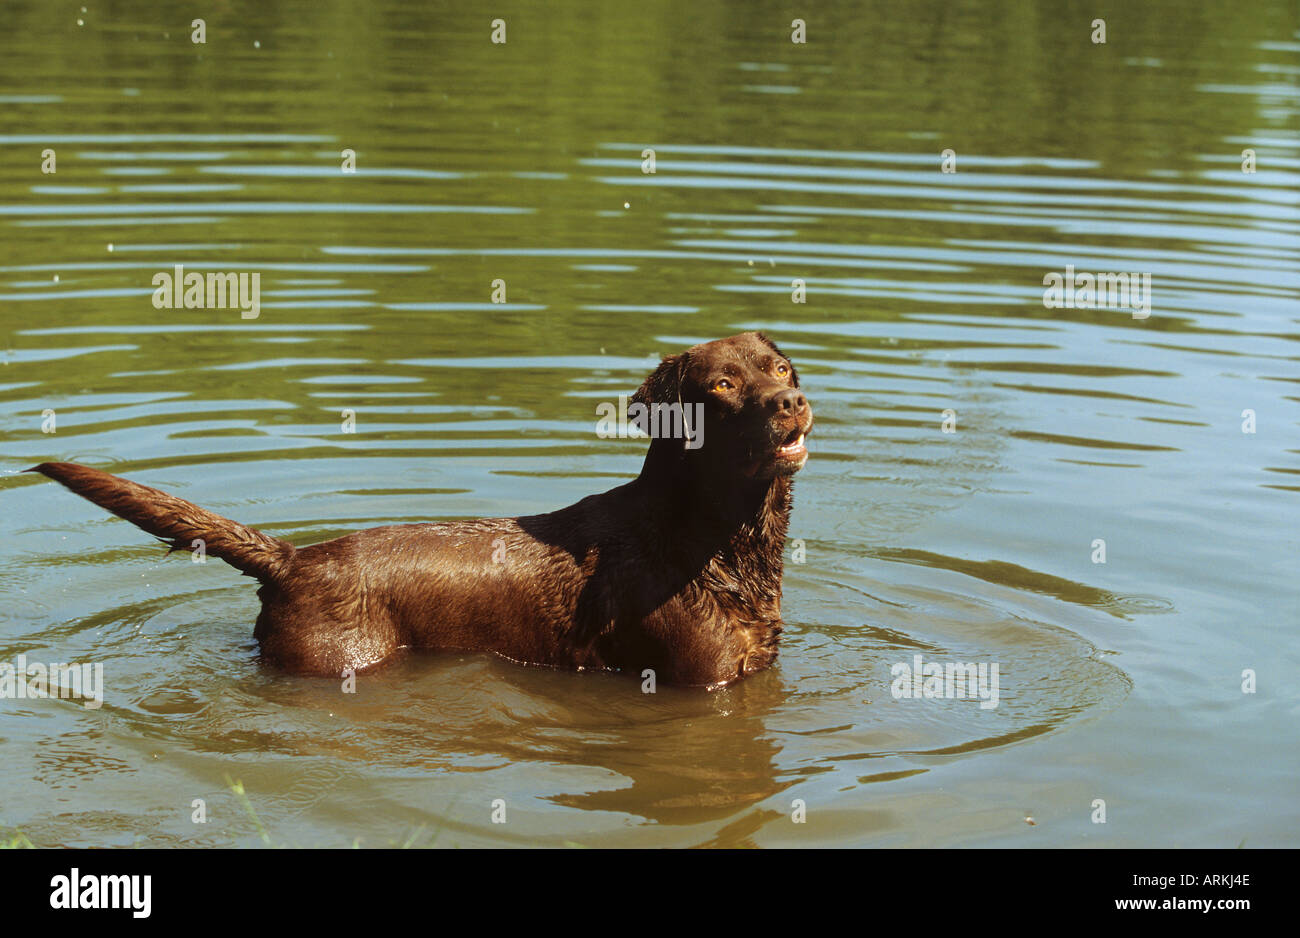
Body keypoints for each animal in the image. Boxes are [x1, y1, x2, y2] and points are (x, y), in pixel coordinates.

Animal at [30, 332, 811, 680]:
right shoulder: (702, 681)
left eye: (779, 368)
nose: (791, 402)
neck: (720, 543)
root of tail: (293, 561)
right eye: (721, 386)